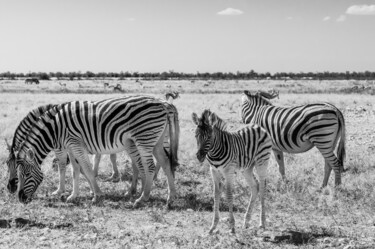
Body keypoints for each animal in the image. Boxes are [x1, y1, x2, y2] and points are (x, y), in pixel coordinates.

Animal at [13, 95, 181, 206]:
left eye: (26, 174)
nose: (20, 198)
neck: (56, 129)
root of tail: (162, 104)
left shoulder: (75, 144)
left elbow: (87, 169)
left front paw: (97, 195)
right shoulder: (71, 147)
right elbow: (75, 170)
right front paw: (73, 195)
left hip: (145, 139)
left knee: (150, 167)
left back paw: (143, 198)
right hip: (157, 141)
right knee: (166, 163)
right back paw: (171, 196)